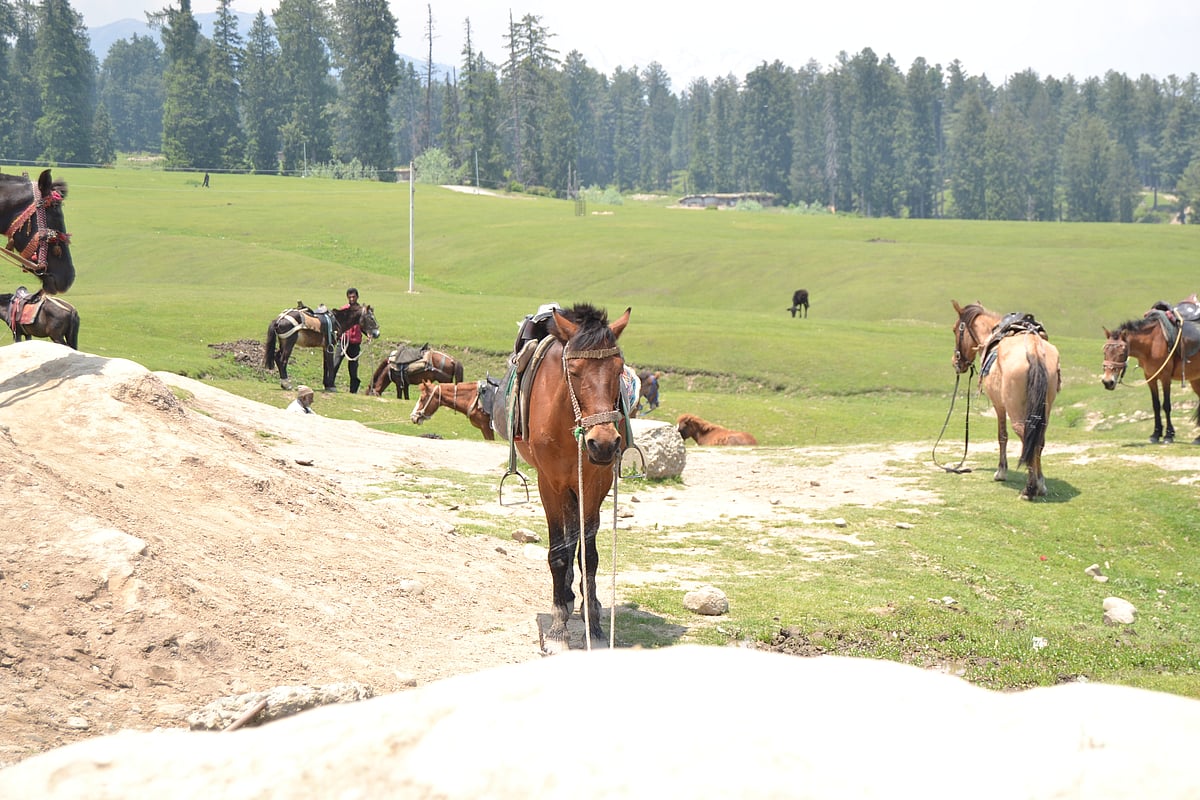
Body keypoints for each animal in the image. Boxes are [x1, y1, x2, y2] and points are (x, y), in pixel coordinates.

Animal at [494, 303, 631, 652]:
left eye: (619, 369)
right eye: (575, 370)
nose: (603, 443)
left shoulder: (595, 484)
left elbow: (589, 556)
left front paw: (595, 626)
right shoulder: (550, 483)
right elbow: (558, 553)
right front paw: (557, 630)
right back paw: (566, 599)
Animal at [951, 300, 1060, 499]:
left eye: (955, 329)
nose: (956, 362)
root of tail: (1033, 349)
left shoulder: (999, 405)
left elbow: (1002, 436)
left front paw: (1001, 471)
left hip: (1015, 410)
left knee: (1025, 437)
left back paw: (1029, 489)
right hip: (1044, 409)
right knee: (1038, 439)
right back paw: (1040, 484)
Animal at [1101, 314, 1200, 444]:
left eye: (1122, 353)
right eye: (1104, 352)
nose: (1108, 382)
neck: (1151, 345)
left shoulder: (1165, 377)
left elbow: (1166, 405)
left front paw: (1169, 435)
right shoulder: (1150, 377)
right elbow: (1156, 405)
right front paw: (1156, 434)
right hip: (1196, 381)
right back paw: (1198, 438)